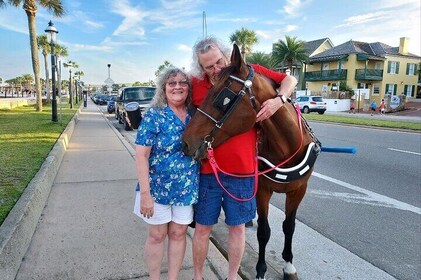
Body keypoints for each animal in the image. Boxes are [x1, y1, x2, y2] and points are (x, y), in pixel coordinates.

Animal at [182, 42, 320, 278]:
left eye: (223, 97)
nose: (186, 142)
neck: (286, 148)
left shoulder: (299, 189)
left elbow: (289, 226)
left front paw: (288, 264)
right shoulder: (263, 189)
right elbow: (264, 231)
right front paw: (261, 269)